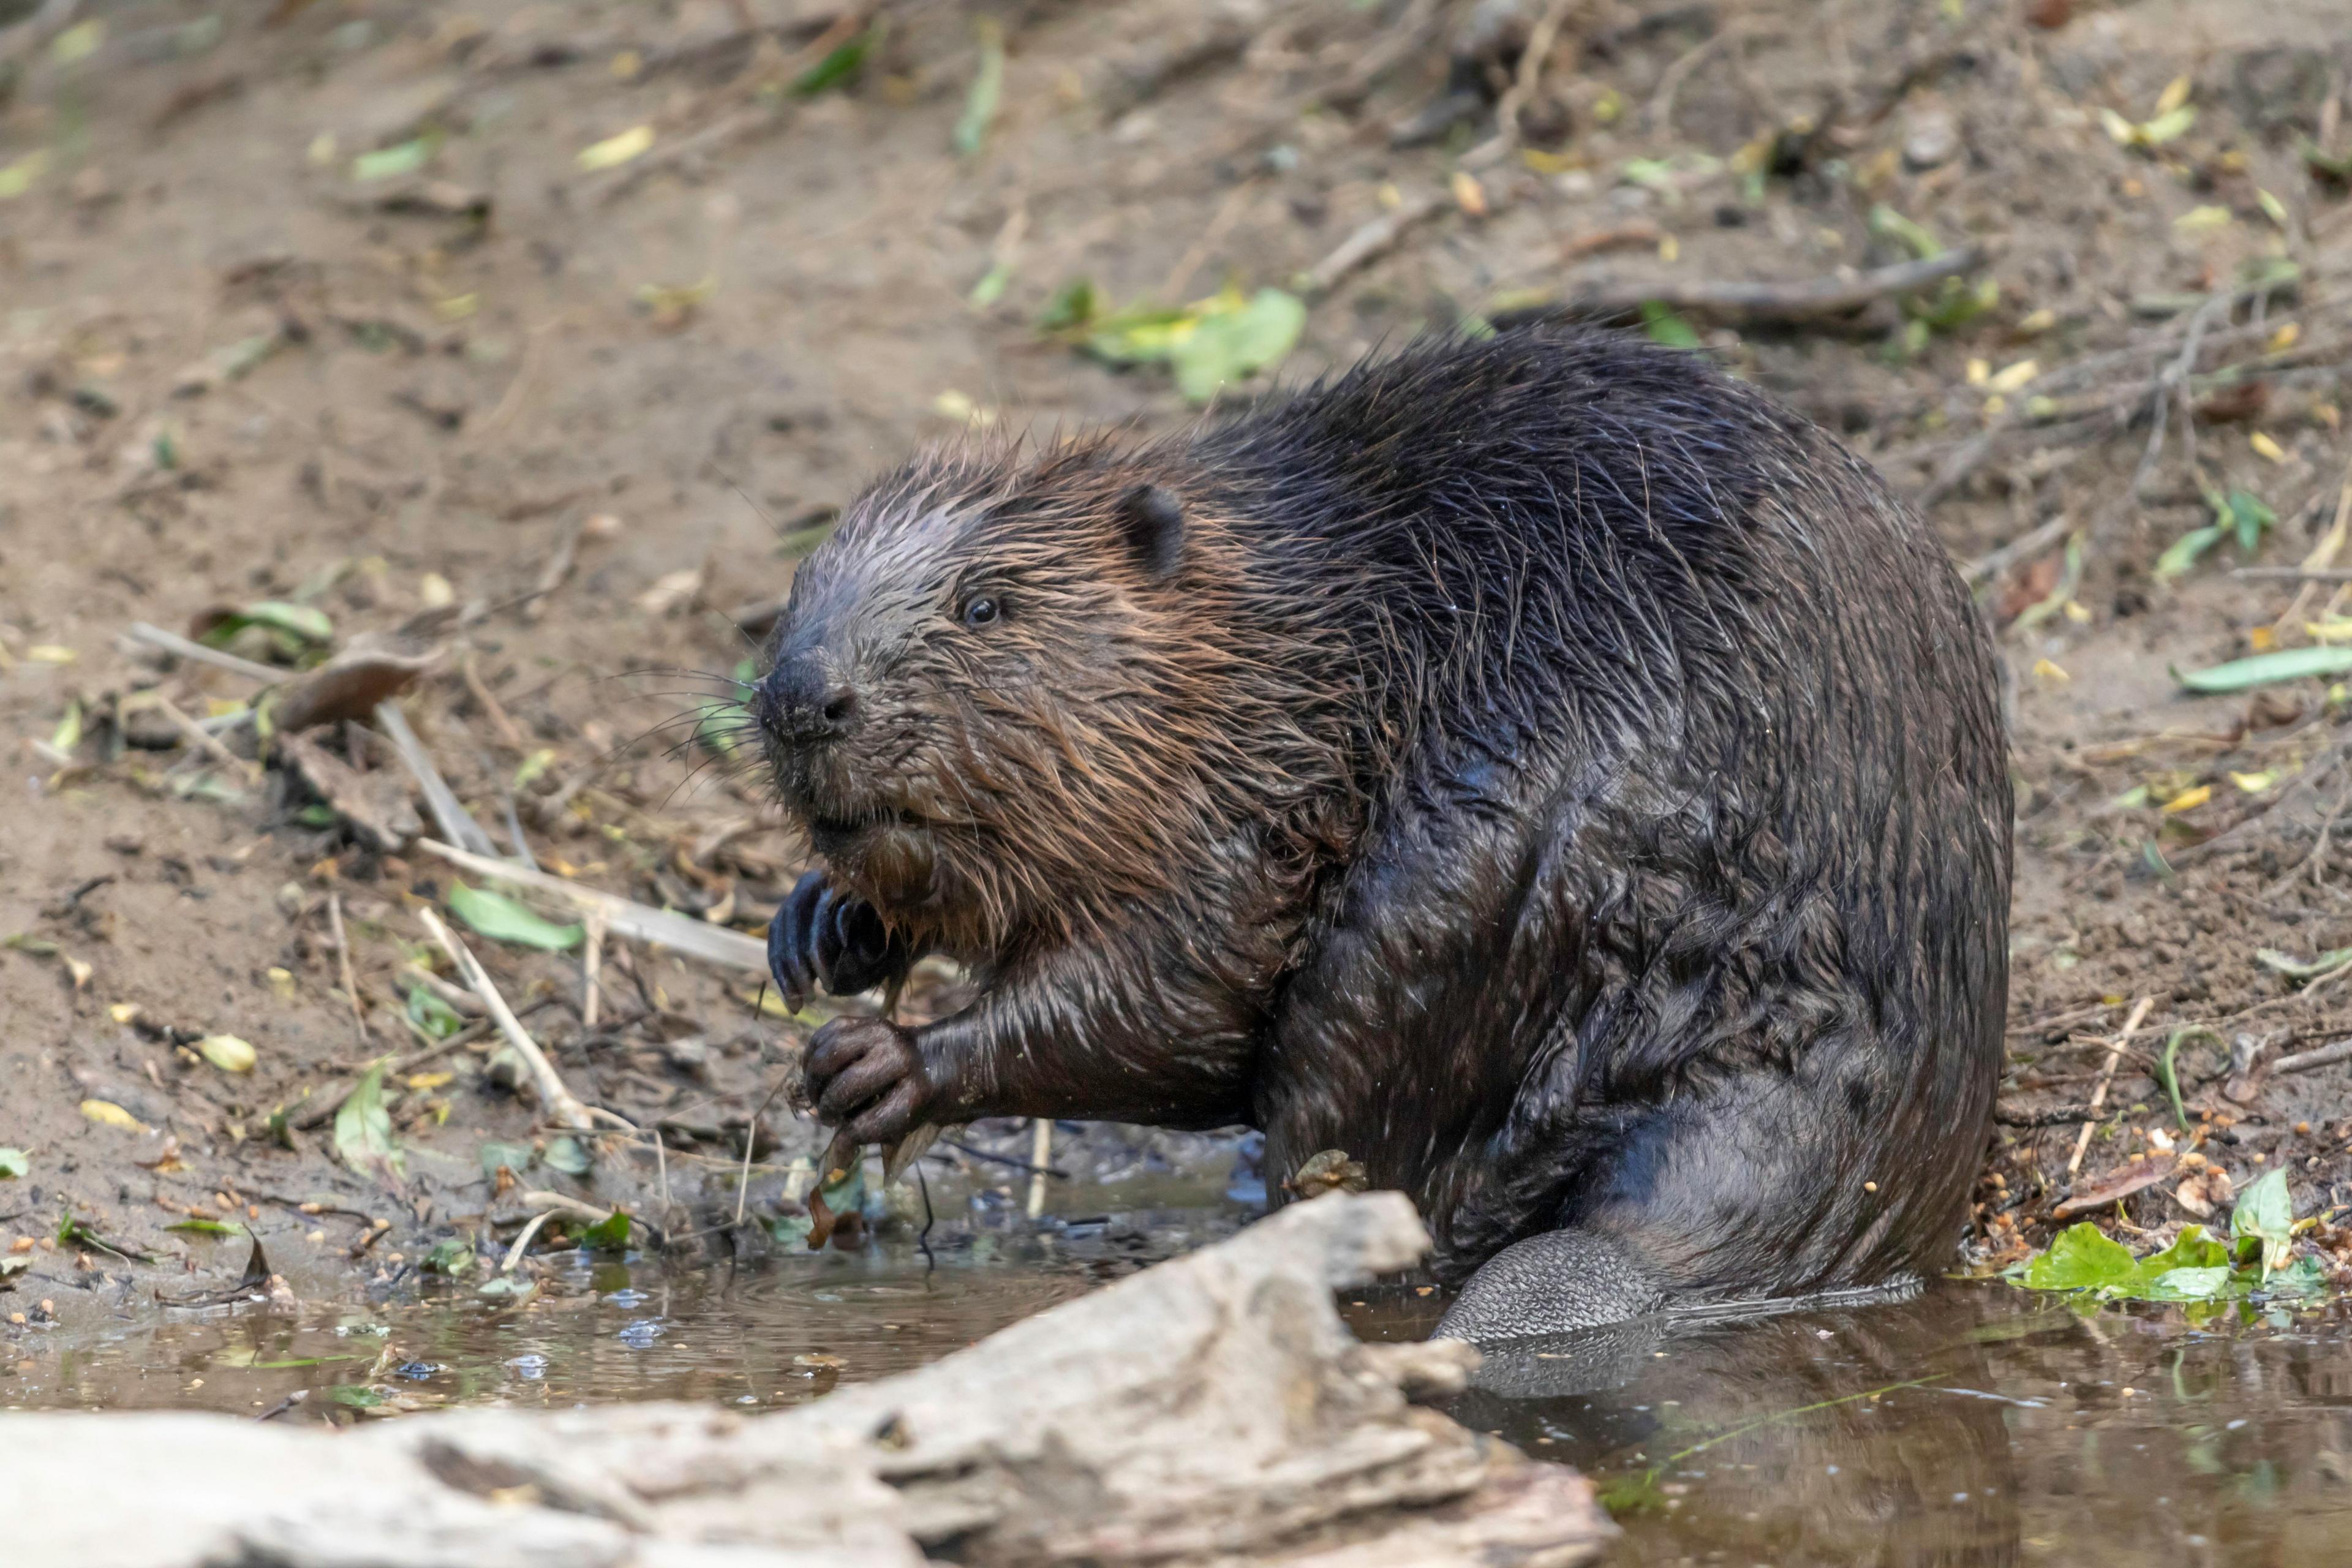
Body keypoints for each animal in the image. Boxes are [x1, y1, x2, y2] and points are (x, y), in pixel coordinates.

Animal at [762, 329, 2013, 1335]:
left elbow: (1183, 996)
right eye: (797, 589)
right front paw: (821, 927)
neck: (1294, 625)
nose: (800, 697)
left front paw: (880, 1064)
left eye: (984, 606)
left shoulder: (1260, 798)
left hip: (1462, 895)